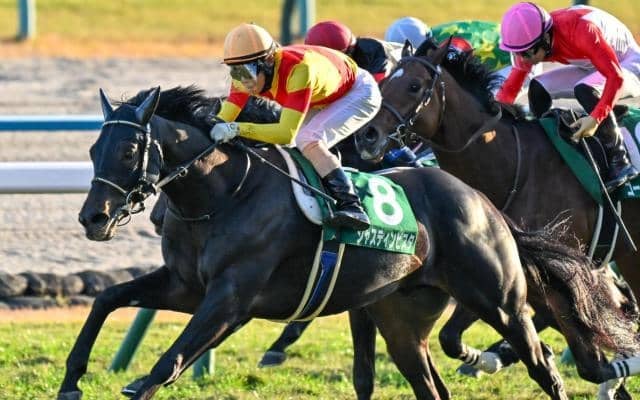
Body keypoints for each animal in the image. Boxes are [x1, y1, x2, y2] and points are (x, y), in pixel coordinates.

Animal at [56, 85, 630, 400]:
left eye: (129, 150)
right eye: (92, 148)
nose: (93, 217)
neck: (223, 193)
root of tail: (485, 204)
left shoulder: (230, 300)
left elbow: (170, 360)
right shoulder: (186, 286)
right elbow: (107, 299)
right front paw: (72, 380)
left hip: (501, 301)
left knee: (545, 366)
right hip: (401, 321)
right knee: (433, 386)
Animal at [353, 41, 640, 396]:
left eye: (414, 86)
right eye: (383, 85)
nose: (367, 136)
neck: (514, 165)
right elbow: (450, 337)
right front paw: (491, 358)